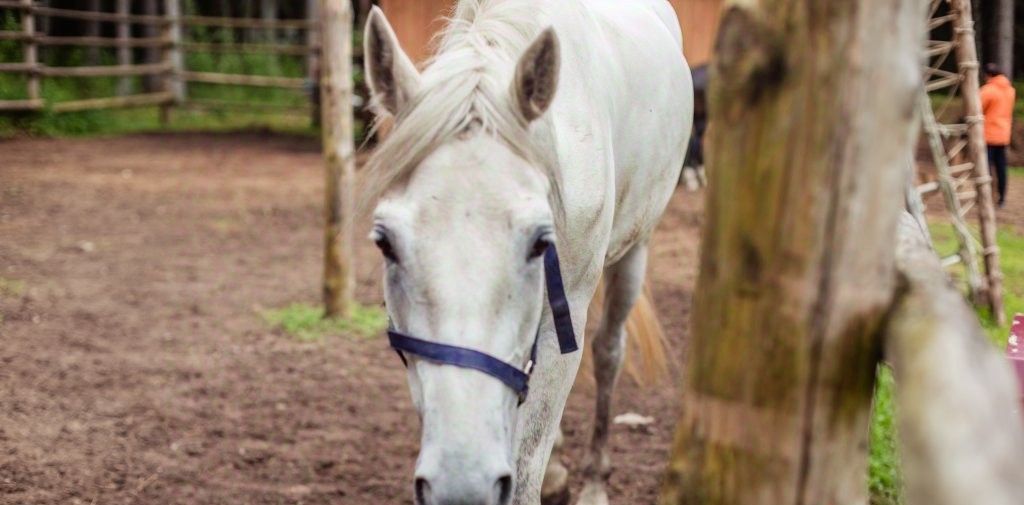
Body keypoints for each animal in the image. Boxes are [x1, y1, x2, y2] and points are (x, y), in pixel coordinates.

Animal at [364, 1, 692, 501]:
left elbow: (525, 462)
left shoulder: (565, 312)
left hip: (636, 248)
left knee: (609, 353)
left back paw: (594, 482)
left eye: (540, 242)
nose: (462, 484)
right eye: (384, 242)